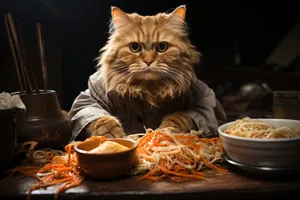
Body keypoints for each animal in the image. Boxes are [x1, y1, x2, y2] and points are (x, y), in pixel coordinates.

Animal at [68, 5, 226, 141]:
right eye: (134, 47)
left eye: (162, 47)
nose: (148, 61)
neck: (147, 90)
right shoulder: (89, 98)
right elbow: (99, 118)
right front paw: (111, 133)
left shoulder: (205, 100)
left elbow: (181, 116)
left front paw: (167, 130)